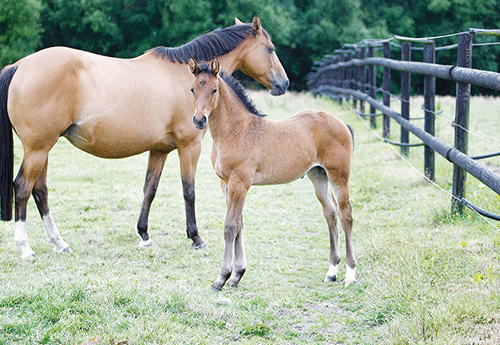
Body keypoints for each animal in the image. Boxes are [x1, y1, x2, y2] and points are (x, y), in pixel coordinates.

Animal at [0, 16, 290, 258]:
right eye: (270, 48)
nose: (284, 83)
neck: (184, 76)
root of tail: (19, 65)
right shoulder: (189, 146)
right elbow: (189, 191)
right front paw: (196, 238)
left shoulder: (159, 150)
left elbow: (149, 190)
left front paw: (144, 235)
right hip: (37, 149)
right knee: (23, 188)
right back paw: (25, 247)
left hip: (43, 149)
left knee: (40, 191)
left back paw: (59, 242)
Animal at [188, 58, 356, 288]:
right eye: (192, 89)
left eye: (214, 90)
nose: (199, 120)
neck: (235, 130)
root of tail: (341, 123)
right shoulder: (226, 184)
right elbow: (239, 224)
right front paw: (237, 275)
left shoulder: (240, 183)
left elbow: (230, 226)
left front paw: (221, 278)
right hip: (318, 175)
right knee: (330, 213)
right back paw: (331, 272)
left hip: (339, 174)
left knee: (345, 214)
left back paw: (350, 274)